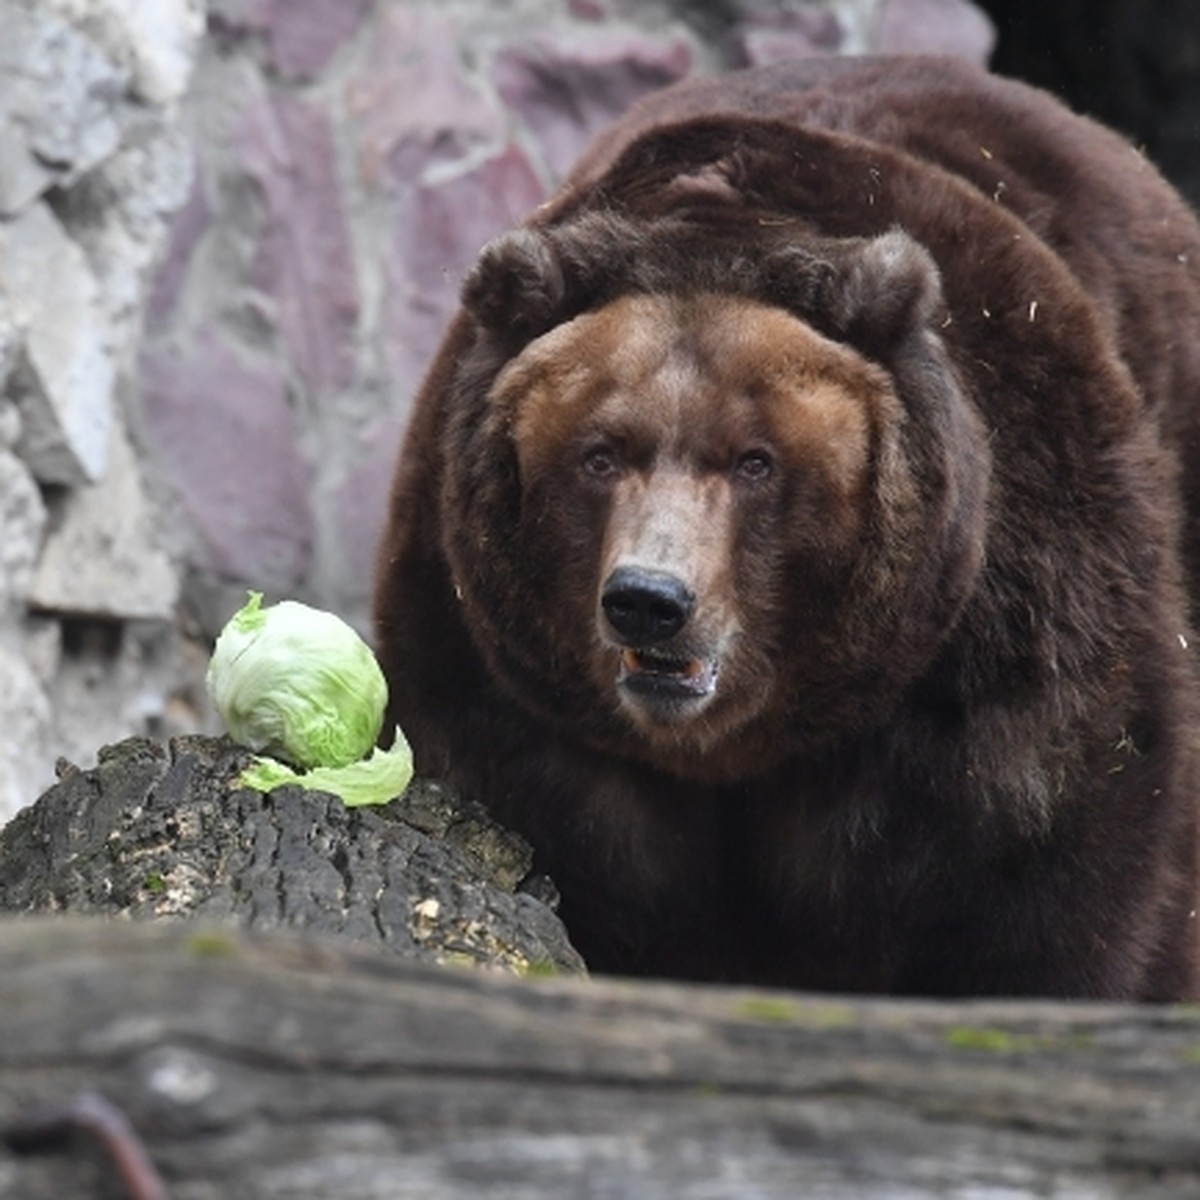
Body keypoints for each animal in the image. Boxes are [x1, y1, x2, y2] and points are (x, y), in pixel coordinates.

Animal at [369, 54, 1200, 993]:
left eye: (754, 461)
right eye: (601, 453)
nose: (650, 600)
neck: (748, 744)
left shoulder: (1005, 642)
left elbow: (1048, 887)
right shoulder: (503, 680)